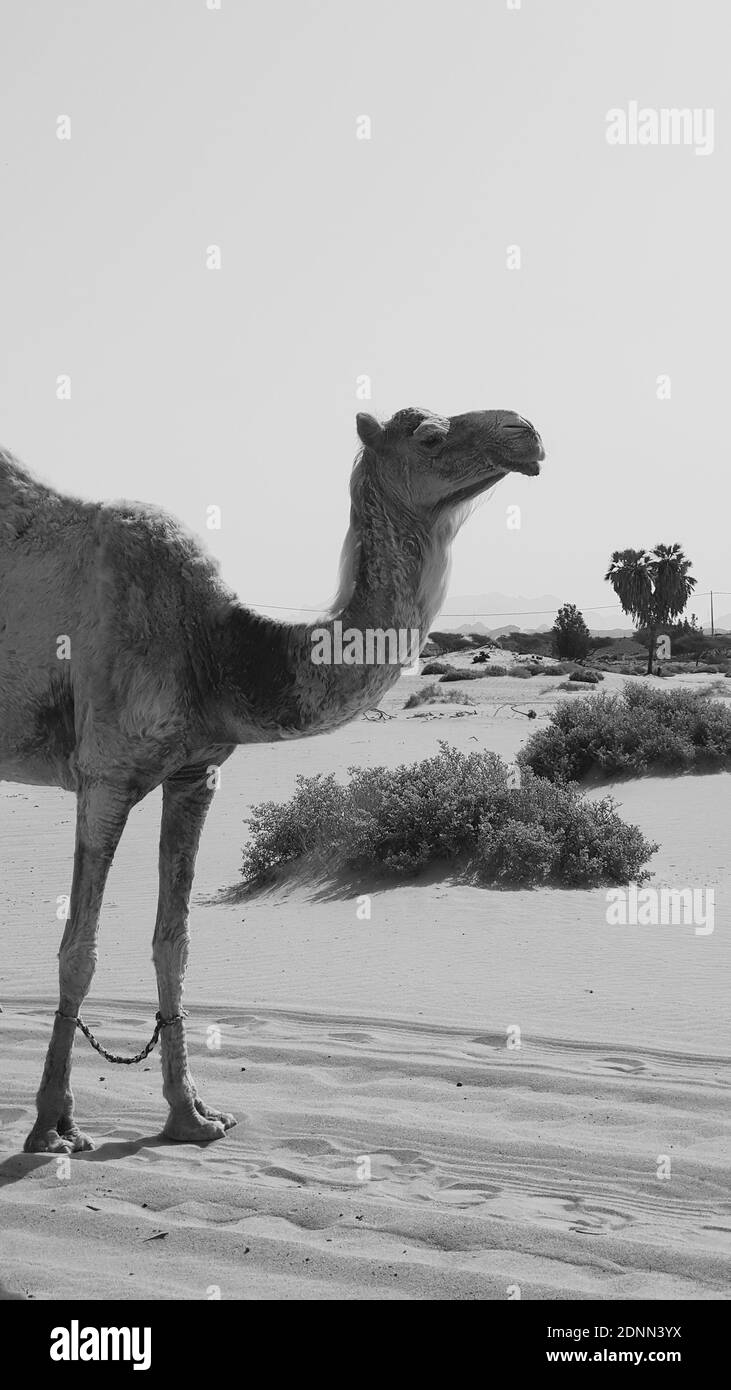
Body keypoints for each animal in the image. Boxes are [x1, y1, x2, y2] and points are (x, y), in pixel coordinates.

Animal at [0, 405, 544, 1153]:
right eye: (429, 435)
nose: (525, 432)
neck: (217, 645)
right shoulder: (105, 772)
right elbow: (78, 950)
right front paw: (52, 1126)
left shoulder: (195, 771)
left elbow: (173, 943)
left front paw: (191, 1117)